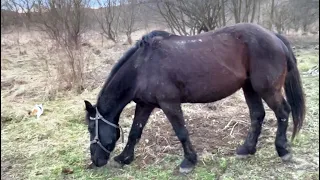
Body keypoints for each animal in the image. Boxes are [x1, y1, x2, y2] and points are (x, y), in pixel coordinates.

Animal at [84, 22, 304, 173]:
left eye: (90, 128)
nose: (95, 161)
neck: (142, 67)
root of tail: (274, 36)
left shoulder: (169, 104)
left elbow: (181, 132)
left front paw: (188, 161)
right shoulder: (145, 105)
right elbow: (134, 132)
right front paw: (124, 158)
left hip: (267, 89)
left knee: (283, 112)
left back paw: (283, 150)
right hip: (249, 87)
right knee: (257, 115)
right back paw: (246, 149)